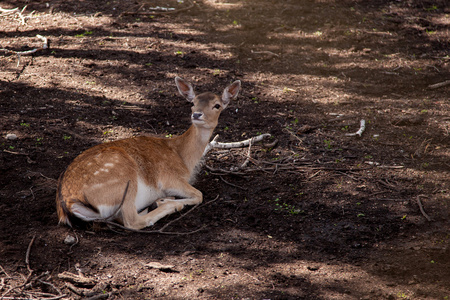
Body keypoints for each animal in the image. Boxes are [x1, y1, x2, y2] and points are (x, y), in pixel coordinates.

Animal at [55, 77, 243, 230]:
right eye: (192, 103)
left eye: (217, 105)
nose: (197, 114)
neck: (184, 158)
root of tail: (67, 203)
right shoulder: (169, 178)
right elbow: (199, 195)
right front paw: (166, 200)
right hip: (124, 180)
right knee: (132, 221)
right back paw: (167, 205)